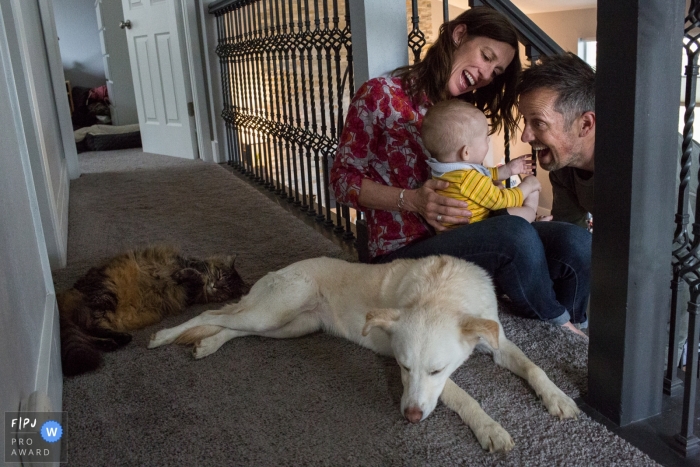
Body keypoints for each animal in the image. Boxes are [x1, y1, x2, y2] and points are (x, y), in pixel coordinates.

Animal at [58, 247, 249, 378]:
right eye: (219, 275)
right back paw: (116, 340)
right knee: (88, 326)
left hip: (104, 304)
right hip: (106, 294)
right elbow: (195, 274)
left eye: (225, 290)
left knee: (88, 329)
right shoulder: (190, 269)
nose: (215, 285)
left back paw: (115, 341)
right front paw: (185, 275)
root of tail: (72, 292)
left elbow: (197, 278)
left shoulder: (191, 293)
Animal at [149, 256, 580, 454]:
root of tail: (274, 274)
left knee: (232, 326)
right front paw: (489, 427)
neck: (442, 294)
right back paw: (165, 336)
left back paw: (208, 344)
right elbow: (464, 397)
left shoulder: (497, 343)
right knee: (212, 315)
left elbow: (535, 368)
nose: (410, 417)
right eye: (403, 367)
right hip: (274, 311)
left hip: (289, 326)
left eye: (436, 369)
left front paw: (558, 399)